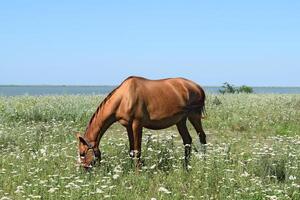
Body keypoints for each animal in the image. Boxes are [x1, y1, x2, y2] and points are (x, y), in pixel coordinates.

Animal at [77, 76, 206, 169]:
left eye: (82, 153)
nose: (84, 170)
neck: (124, 98)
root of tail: (198, 87)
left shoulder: (137, 125)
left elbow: (137, 150)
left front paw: (137, 172)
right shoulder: (128, 126)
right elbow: (131, 150)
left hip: (194, 115)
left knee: (202, 137)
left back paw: (204, 164)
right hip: (181, 121)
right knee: (187, 141)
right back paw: (186, 166)